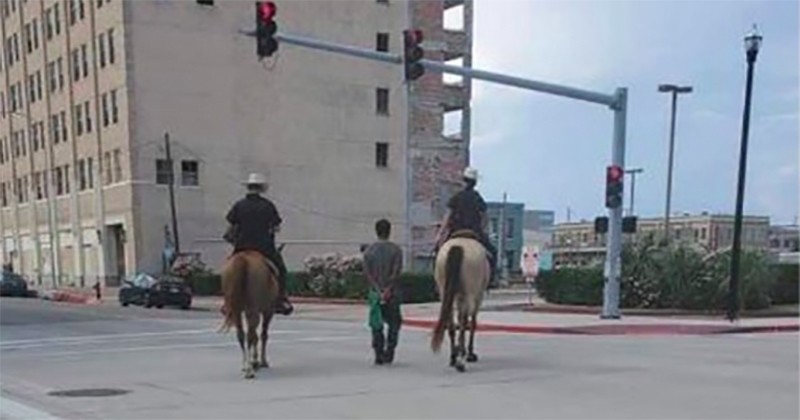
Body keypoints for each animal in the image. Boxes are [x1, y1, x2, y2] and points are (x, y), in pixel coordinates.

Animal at [428, 231, 490, 372]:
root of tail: (457, 247)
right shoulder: (478, 296)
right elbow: (472, 323)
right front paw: (470, 353)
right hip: (469, 293)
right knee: (463, 323)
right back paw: (461, 359)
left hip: (444, 292)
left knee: (451, 323)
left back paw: (453, 357)